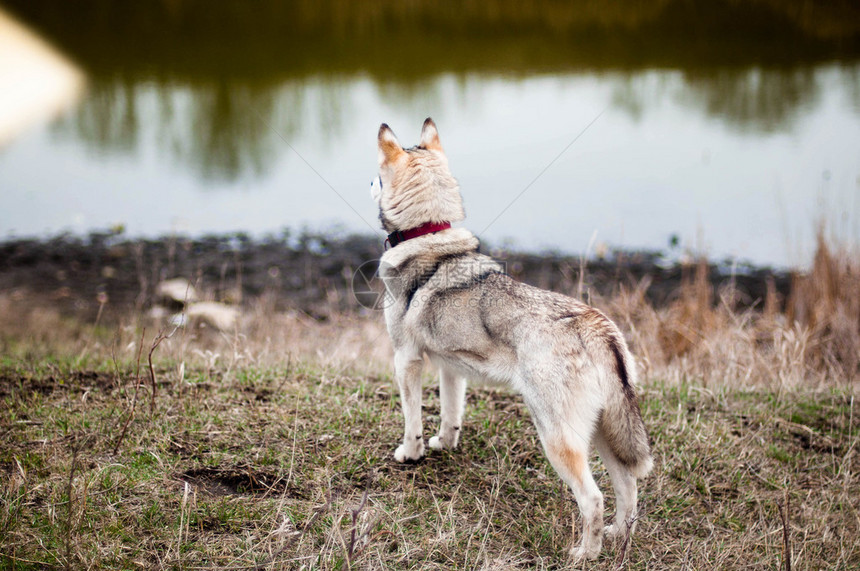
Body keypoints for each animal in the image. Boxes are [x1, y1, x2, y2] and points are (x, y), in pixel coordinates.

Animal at [370, 117, 652, 564]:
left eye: (378, 177)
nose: (366, 183)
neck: (428, 236)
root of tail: (595, 324)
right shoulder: (452, 367)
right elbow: (450, 415)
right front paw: (444, 444)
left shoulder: (406, 360)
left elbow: (412, 421)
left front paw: (410, 455)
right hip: (603, 433)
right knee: (627, 486)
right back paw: (617, 537)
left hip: (557, 440)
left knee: (593, 498)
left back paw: (584, 554)